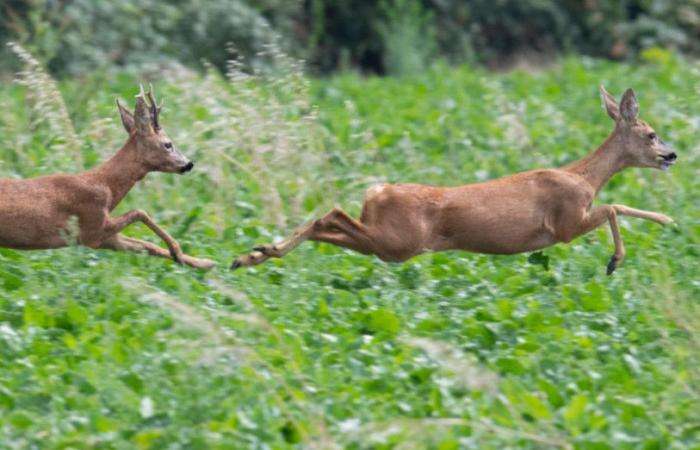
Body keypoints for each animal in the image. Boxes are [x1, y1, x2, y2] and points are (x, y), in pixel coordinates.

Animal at [0, 85, 216, 268]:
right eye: (168, 144)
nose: (188, 164)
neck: (106, 187)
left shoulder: (102, 237)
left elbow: (147, 246)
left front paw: (203, 262)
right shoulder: (92, 227)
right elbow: (139, 212)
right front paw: (178, 251)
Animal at [235, 86, 680, 276]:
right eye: (651, 134)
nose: (672, 155)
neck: (584, 177)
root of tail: (376, 193)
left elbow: (615, 205)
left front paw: (664, 223)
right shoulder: (566, 222)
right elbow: (614, 206)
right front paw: (620, 256)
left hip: (389, 244)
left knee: (327, 223)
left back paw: (253, 254)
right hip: (397, 241)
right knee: (330, 214)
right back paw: (257, 253)